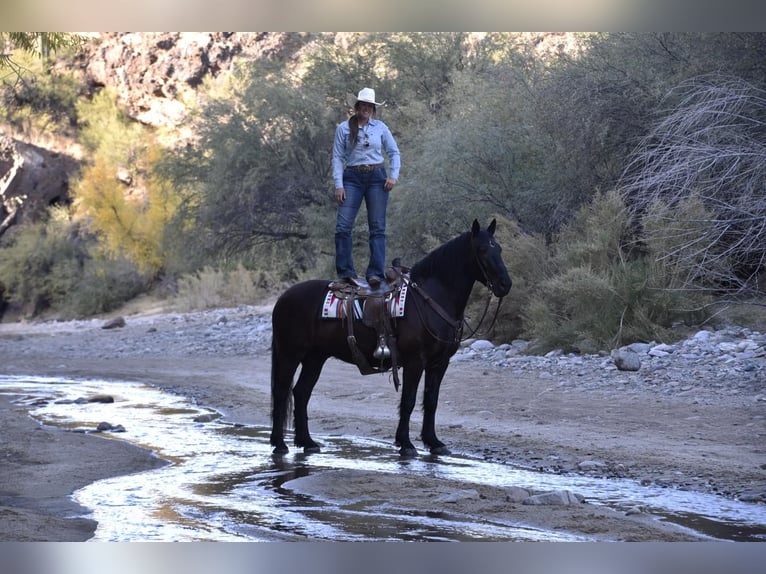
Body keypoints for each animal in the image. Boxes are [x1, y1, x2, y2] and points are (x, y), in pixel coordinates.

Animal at [268, 220, 512, 460]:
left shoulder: (440, 362)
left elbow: (431, 400)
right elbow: (409, 400)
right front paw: (406, 444)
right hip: (290, 354)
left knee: (301, 392)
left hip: (315, 357)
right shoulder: (415, 361)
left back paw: (307, 442)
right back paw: (280, 444)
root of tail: (283, 298)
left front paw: (434, 442)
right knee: (281, 392)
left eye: (499, 249)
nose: (505, 284)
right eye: (482, 249)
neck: (430, 299)